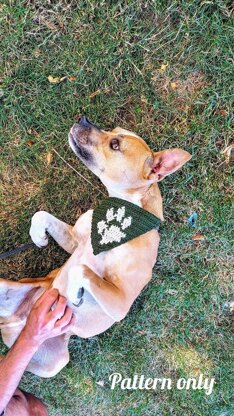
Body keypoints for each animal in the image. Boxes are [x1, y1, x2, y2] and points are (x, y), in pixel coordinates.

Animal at [0, 116, 191, 376]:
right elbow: (42, 215)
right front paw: (37, 236)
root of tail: (14, 322)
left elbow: (81, 269)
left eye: (114, 144)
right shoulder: (75, 241)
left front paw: (74, 290)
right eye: (114, 132)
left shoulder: (122, 300)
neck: (119, 216)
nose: (83, 119)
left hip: (55, 364)